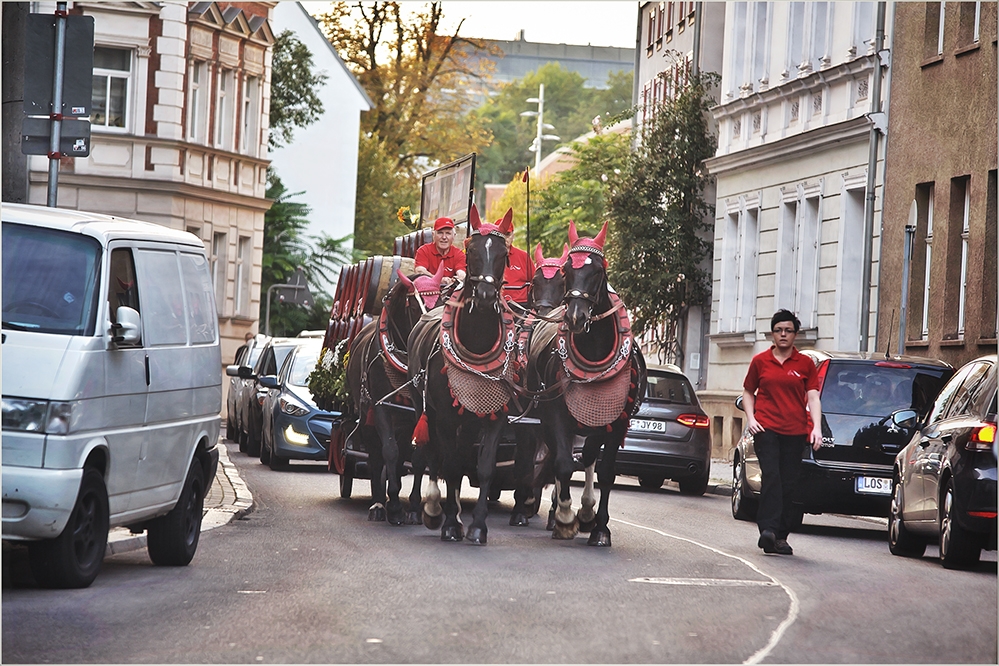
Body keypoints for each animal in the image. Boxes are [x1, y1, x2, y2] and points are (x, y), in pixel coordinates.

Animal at [348, 262, 446, 528]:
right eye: (413, 304)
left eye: (442, 299)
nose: (429, 326)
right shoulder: (381, 407)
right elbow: (389, 452)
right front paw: (392, 506)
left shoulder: (419, 413)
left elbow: (419, 457)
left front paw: (413, 508)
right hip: (367, 416)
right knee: (376, 454)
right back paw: (378, 503)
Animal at [406, 205, 516, 544]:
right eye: (472, 250)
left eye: (504, 254)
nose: (485, 294)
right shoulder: (444, 416)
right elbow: (451, 464)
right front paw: (450, 524)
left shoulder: (495, 415)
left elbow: (485, 467)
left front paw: (477, 526)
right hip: (421, 402)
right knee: (426, 454)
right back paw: (422, 508)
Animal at [528, 223, 644, 544]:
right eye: (568, 269)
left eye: (598, 271)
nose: (576, 317)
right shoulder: (556, 414)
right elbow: (564, 464)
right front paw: (566, 518)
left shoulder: (616, 420)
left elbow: (605, 471)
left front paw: (600, 526)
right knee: (561, 457)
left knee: (589, 457)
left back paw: (588, 512)